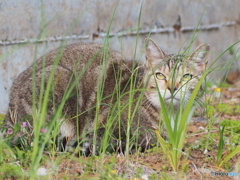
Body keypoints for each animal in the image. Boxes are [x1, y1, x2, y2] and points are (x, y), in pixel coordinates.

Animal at [2, 38, 210, 154]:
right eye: (160, 75)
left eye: (186, 76)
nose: (173, 88)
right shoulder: (105, 129)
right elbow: (146, 139)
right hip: (62, 82)